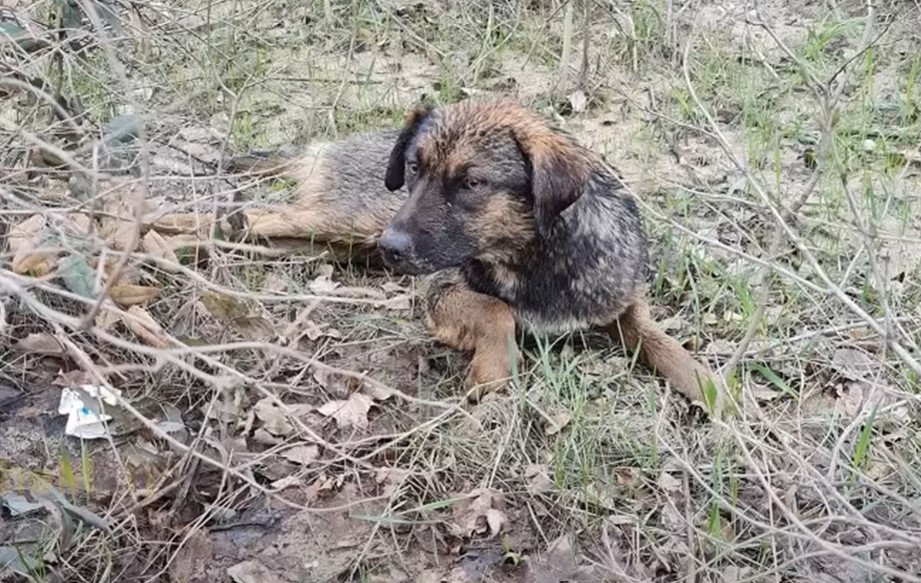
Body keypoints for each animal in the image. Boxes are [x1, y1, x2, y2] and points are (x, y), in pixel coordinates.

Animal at [221, 100, 724, 418]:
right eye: (414, 168)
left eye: (473, 183)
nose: (392, 248)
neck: (537, 259)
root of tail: (325, 145)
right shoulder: (440, 292)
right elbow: (497, 310)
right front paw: (493, 370)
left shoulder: (618, 302)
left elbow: (662, 341)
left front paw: (711, 387)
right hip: (348, 222)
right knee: (249, 214)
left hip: (334, 240)